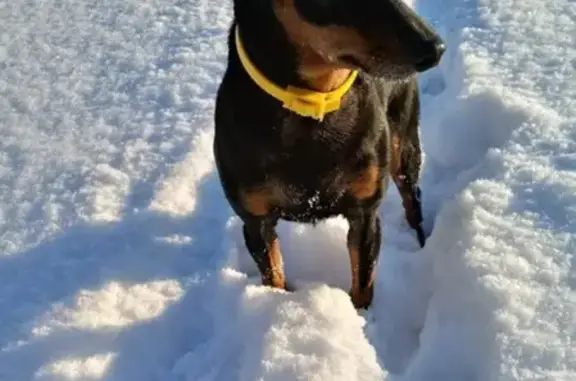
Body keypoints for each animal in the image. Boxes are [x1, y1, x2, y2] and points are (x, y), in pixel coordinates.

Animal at [214, 0, 444, 308]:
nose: (435, 48)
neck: (312, 103)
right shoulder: (255, 222)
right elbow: (274, 276)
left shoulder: (365, 214)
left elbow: (363, 283)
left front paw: (361, 317)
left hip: (404, 144)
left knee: (412, 198)